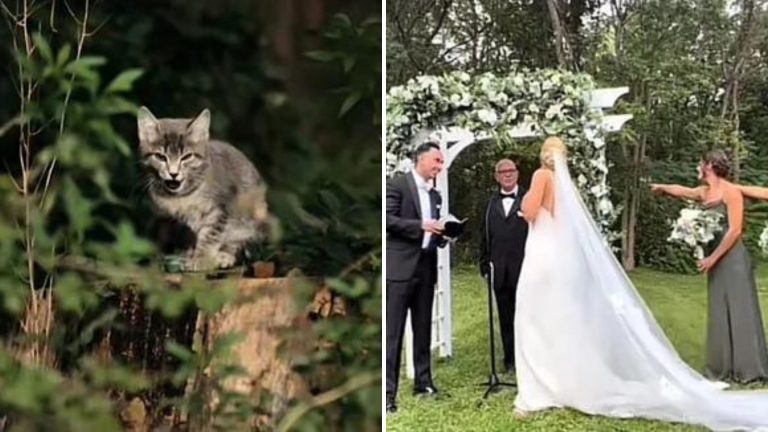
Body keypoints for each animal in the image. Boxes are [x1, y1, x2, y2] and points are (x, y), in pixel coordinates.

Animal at [136, 107, 268, 270]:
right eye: (160, 157)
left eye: (186, 157)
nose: (173, 173)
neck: (183, 195)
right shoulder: (183, 220)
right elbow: (194, 235)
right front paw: (191, 255)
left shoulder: (223, 206)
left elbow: (211, 234)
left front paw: (202, 258)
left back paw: (225, 255)